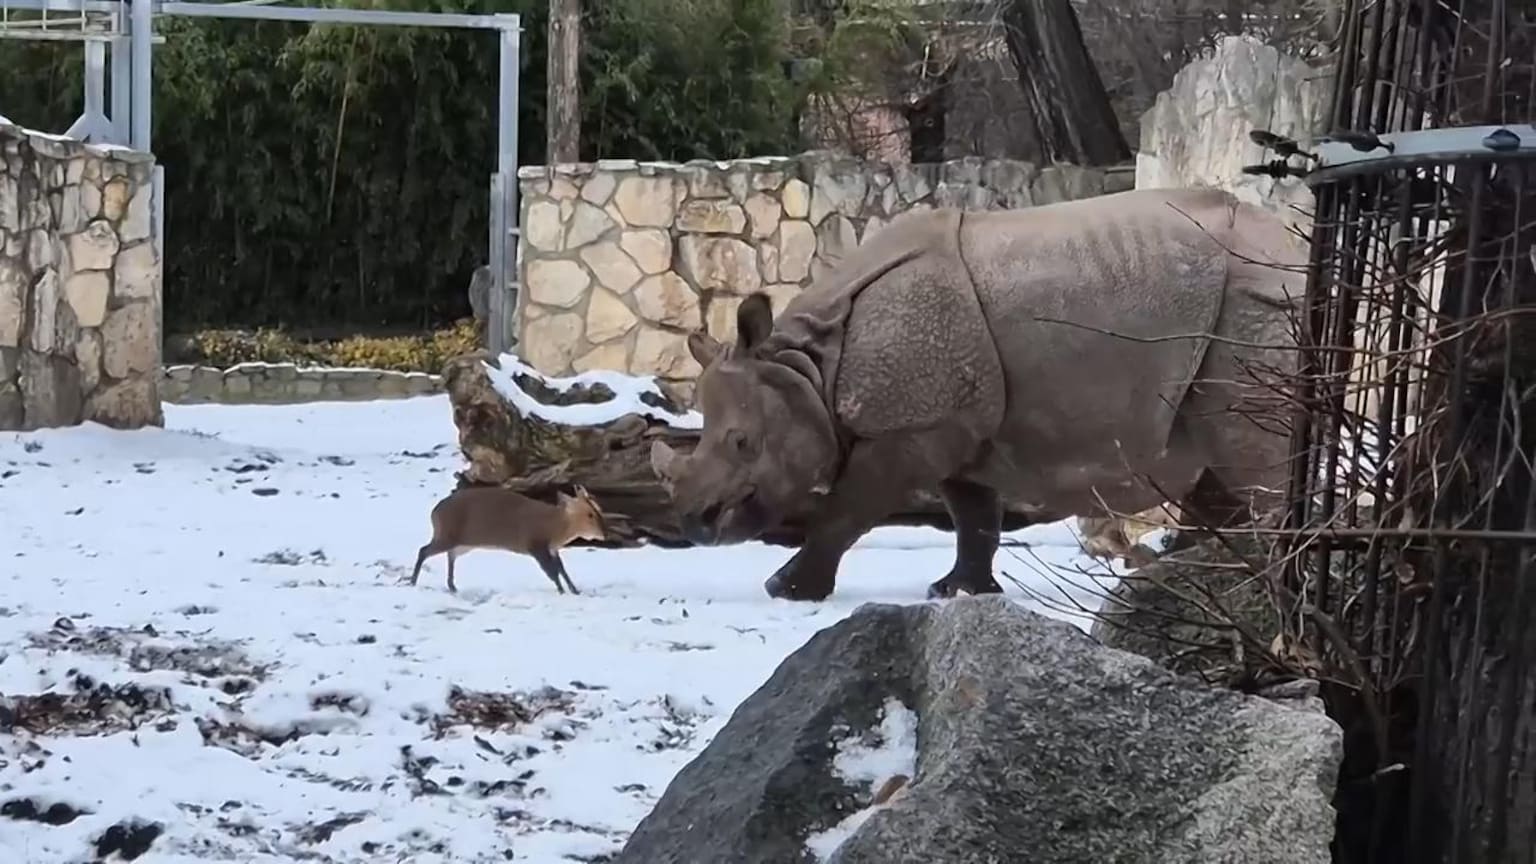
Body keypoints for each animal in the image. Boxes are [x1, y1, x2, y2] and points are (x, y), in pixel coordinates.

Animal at [650, 187, 1307, 601]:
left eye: (741, 443)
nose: (693, 523)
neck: (808, 367)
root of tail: (1297, 246)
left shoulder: (909, 430)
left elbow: (844, 511)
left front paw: (784, 590)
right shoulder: (952, 424)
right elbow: (973, 516)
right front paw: (956, 591)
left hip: (1257, 302)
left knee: (1247, 448)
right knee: (1217, 464)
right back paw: (1204, 579)